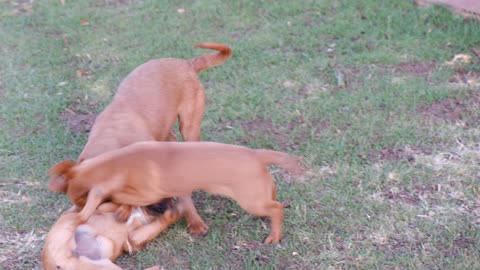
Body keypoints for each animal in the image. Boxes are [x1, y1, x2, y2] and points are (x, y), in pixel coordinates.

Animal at [42, 200, 181, 270]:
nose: (166, 207)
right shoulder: (104, 208)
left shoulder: (136, 237)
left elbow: (160, 223)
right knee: (76, 214)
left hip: (104, 265)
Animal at [47, 142, 304, 244]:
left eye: (79, 202)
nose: (77, 210)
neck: (116, 164)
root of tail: (257, 154)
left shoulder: (147, 194)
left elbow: (122, 197)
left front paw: (120, 209)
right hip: (260, 193)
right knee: (274, 199)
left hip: (250, 200)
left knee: (276, 209)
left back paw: (274, 236)